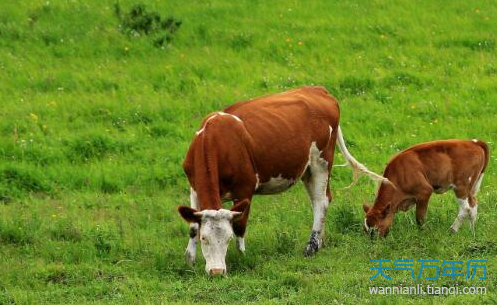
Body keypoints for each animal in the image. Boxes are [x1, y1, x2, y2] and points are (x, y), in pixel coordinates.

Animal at [176, 86, 386, 276]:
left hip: (322, 161)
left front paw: (242, 256)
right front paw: (190, 260)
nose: (217, 272)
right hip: (307, 169)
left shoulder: (245, 189)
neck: (215, 141)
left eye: (227, 239)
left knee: (321, 201)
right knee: (318, 200)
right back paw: (319, 241)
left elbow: (240, 225)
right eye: (204, 238)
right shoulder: (194, 188)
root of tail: (318, 89)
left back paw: (311, 247)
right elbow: (192, 225)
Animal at [360, 139, 488, 236]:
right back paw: (471, 232)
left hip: (461, 186)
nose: (374, 244)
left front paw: (423, 233)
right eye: (365, 230)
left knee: (466, 208)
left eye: (376, 229)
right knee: (473, 205)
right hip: (470, 188)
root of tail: (473, 142)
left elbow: (419, 218)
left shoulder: (424, 191)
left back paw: (453, 229)